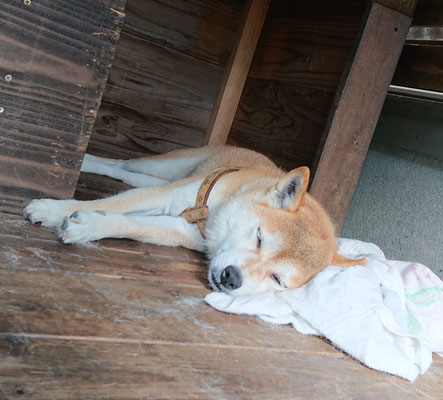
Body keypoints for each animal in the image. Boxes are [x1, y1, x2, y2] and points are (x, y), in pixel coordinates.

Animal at [24, 145, 366, 296]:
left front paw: (90, 226)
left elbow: (126, 222)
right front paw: (53, 209)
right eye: (259, 237)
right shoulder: (166, 197)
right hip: (166, 168)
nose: (231, 278)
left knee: (128, 176)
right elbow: (111, 204)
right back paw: (89, 160)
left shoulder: (181, 228)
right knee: (123, 163)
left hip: (163, 177)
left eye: (278, 279)